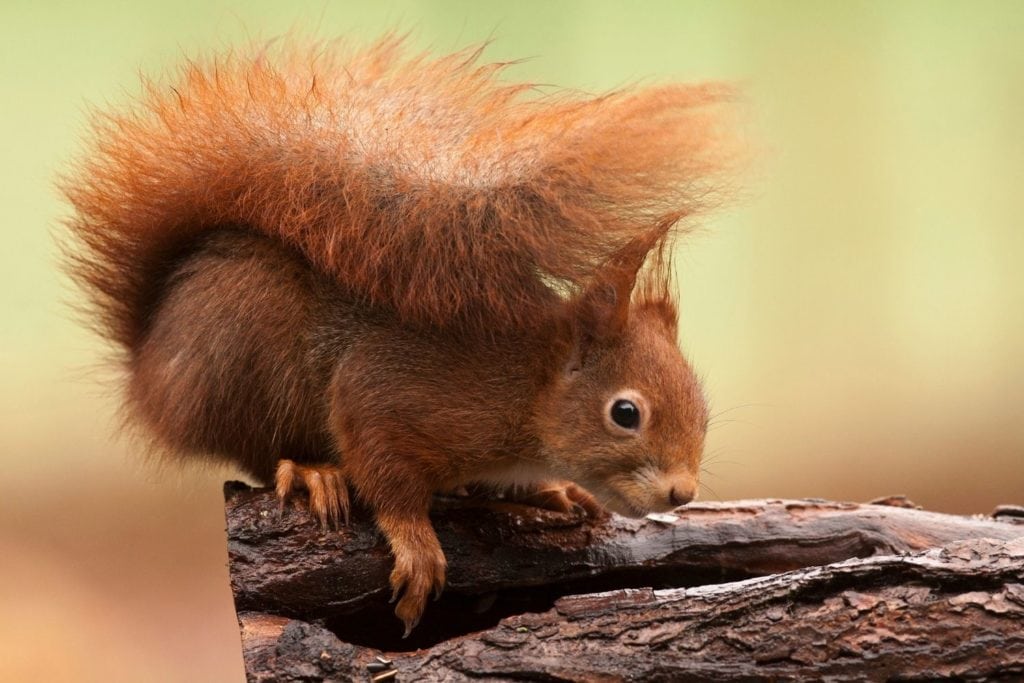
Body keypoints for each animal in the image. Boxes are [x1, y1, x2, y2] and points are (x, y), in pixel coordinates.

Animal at [62, 37, 738, 635]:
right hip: (249, 353)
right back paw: (312, 472)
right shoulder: (393, 391)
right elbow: (384, 471)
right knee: (256, 450)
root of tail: (150, 367)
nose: (682, 491)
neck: (527, 386)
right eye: (625, 413)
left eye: (704, 409)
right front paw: (416, 544)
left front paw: (556, 492)